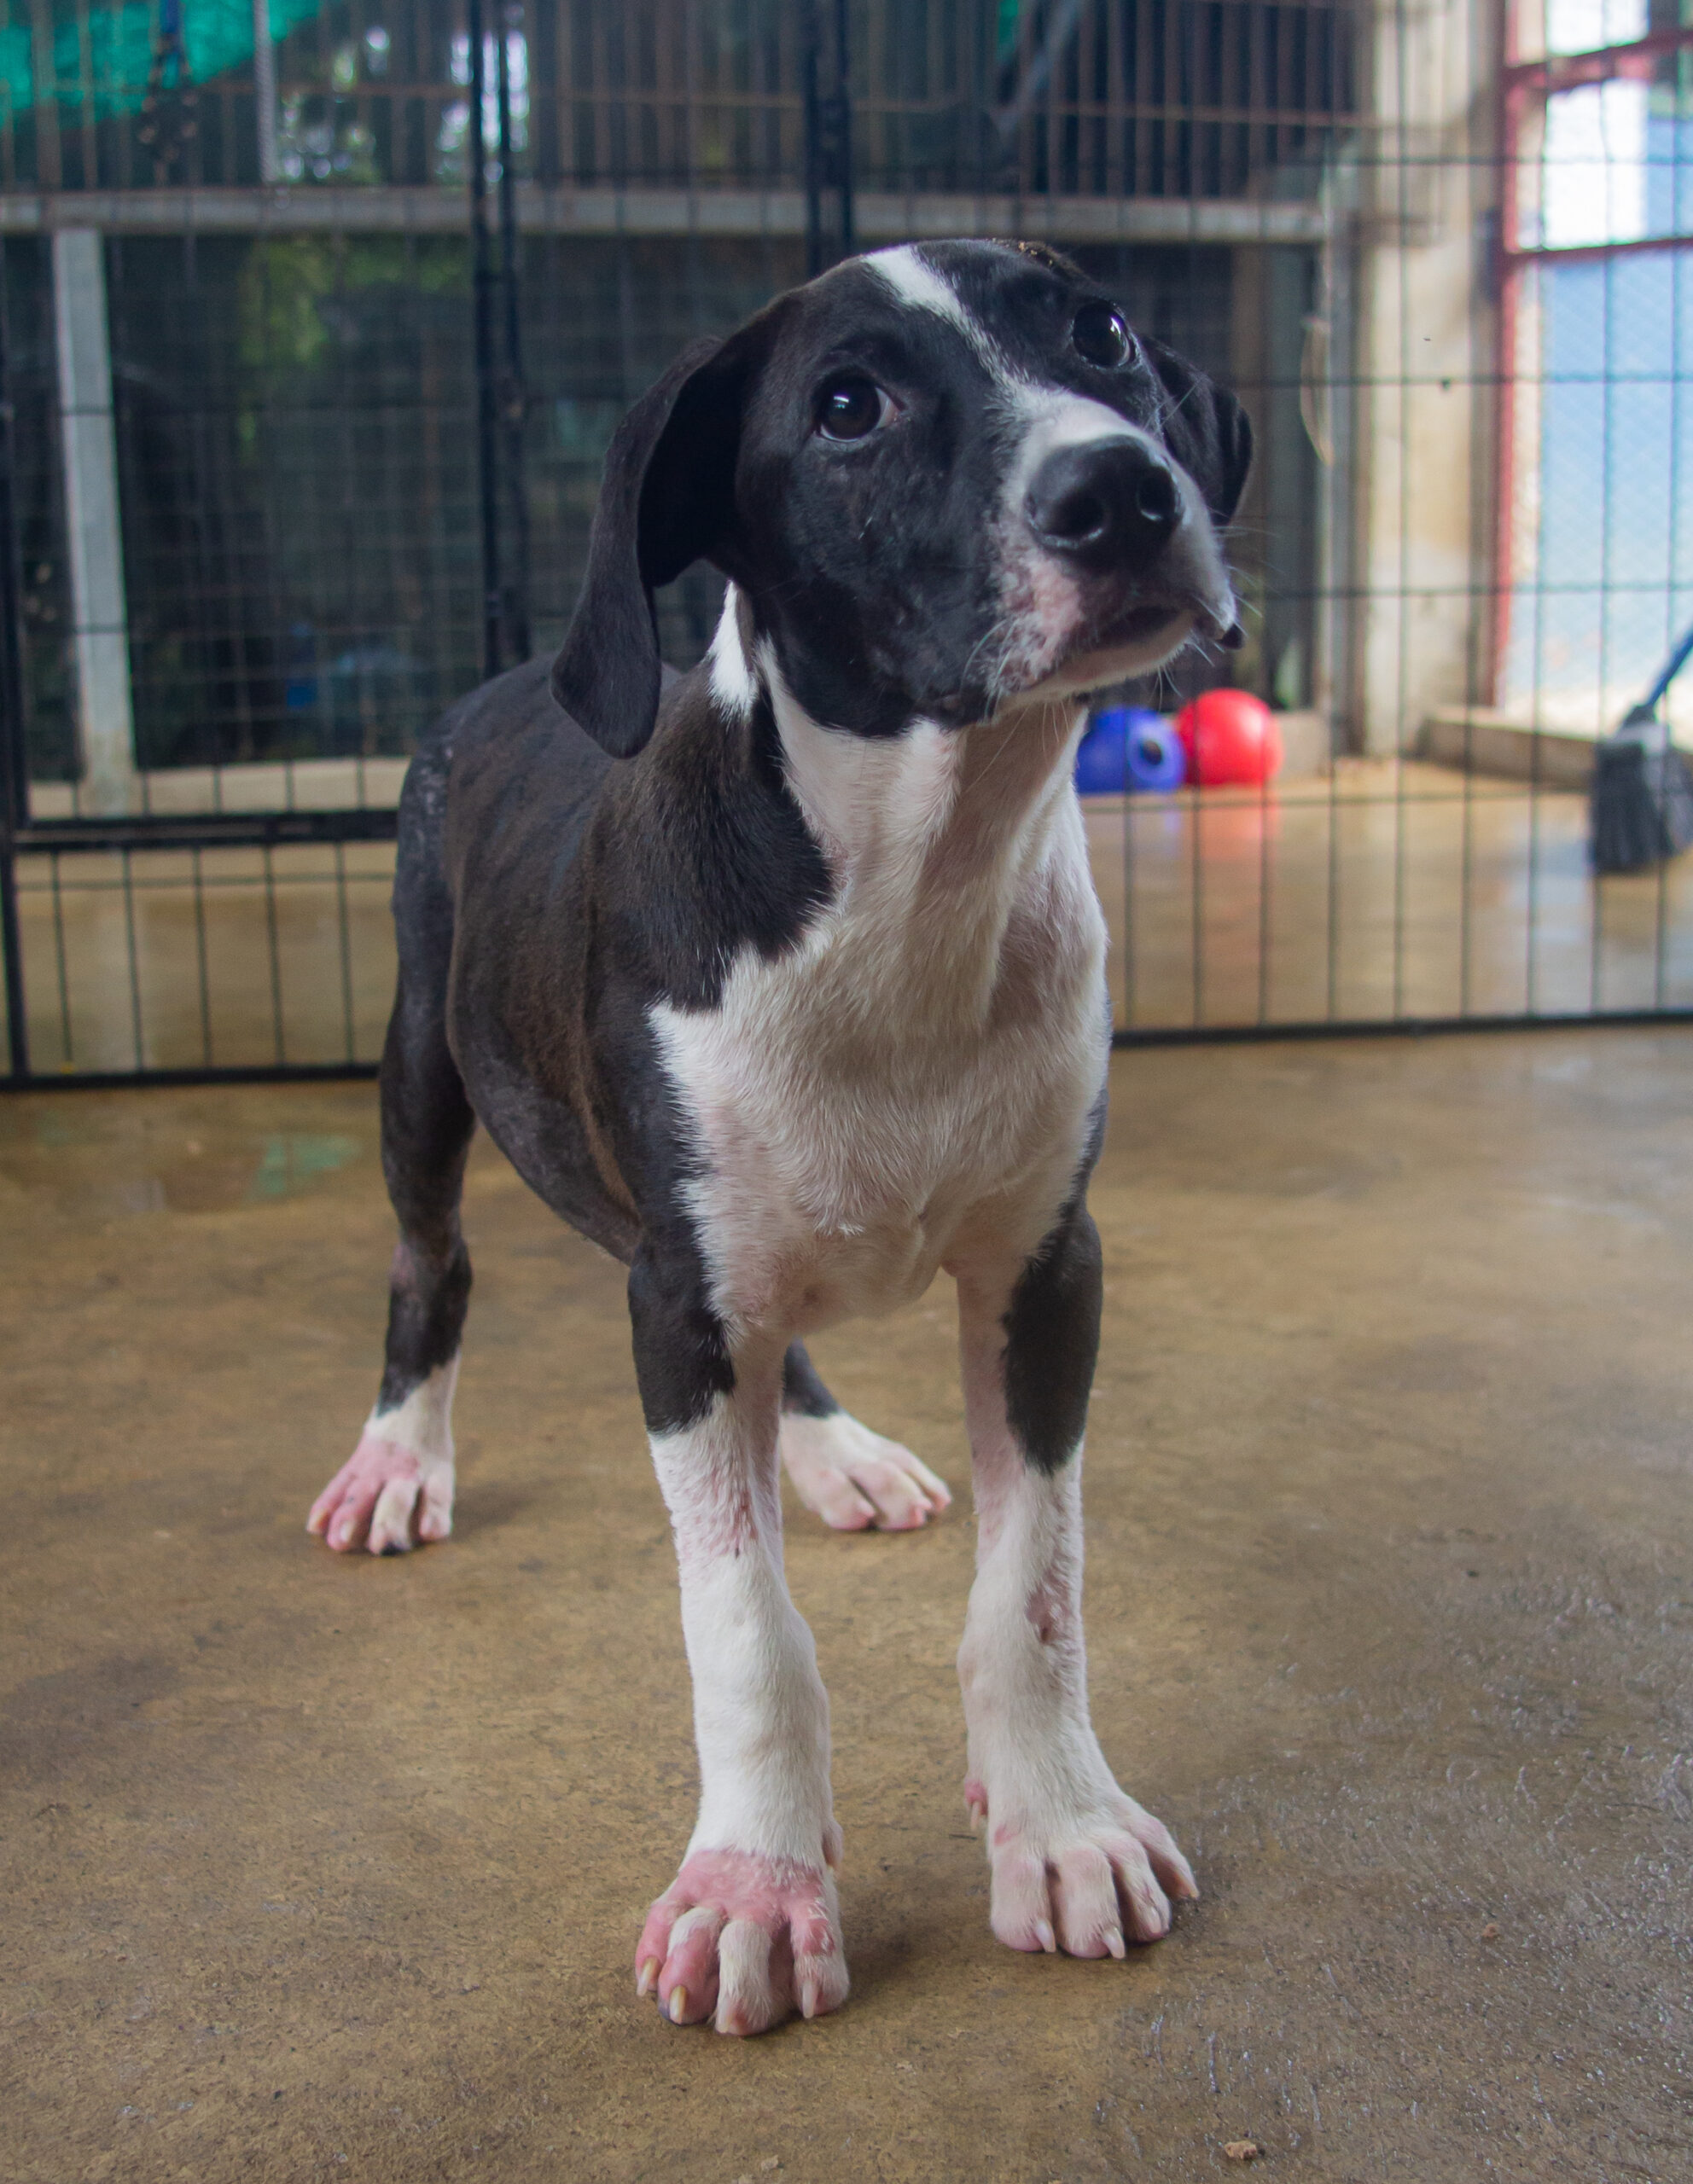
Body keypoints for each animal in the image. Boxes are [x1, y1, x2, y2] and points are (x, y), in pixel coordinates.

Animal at [310, 247, 1249, 2035]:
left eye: (1096, 332)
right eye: (845, 408)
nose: (1122, 490)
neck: (907, 887)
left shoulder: (1044, 1267)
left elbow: (1034, 1584)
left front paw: (1058, 1823)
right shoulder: (677, 1304)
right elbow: (743, 1629)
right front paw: (753, 1880)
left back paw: (831, 1451)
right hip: (424, 1065)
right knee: (426, 1264)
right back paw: (398, 1456)